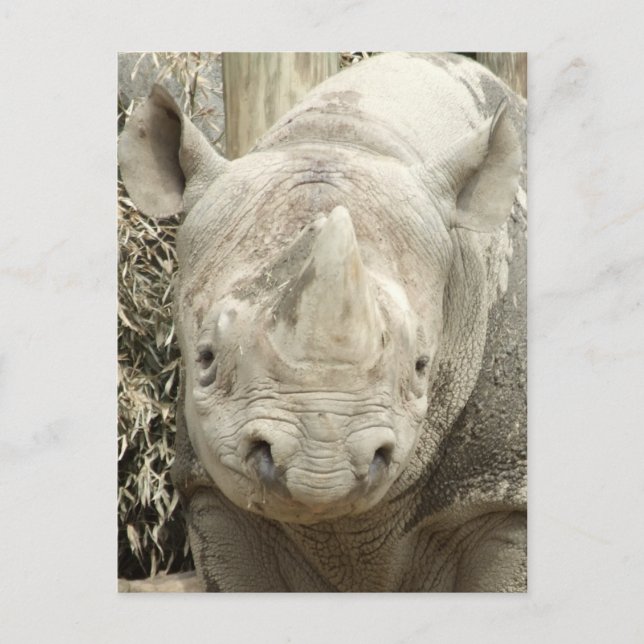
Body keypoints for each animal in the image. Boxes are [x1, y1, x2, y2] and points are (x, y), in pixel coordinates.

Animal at [118, 52, 527, 592]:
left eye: (422, 366)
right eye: (204, 359)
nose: (320, 461)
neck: (348, 134)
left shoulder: (502, 493)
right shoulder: (213, 495)